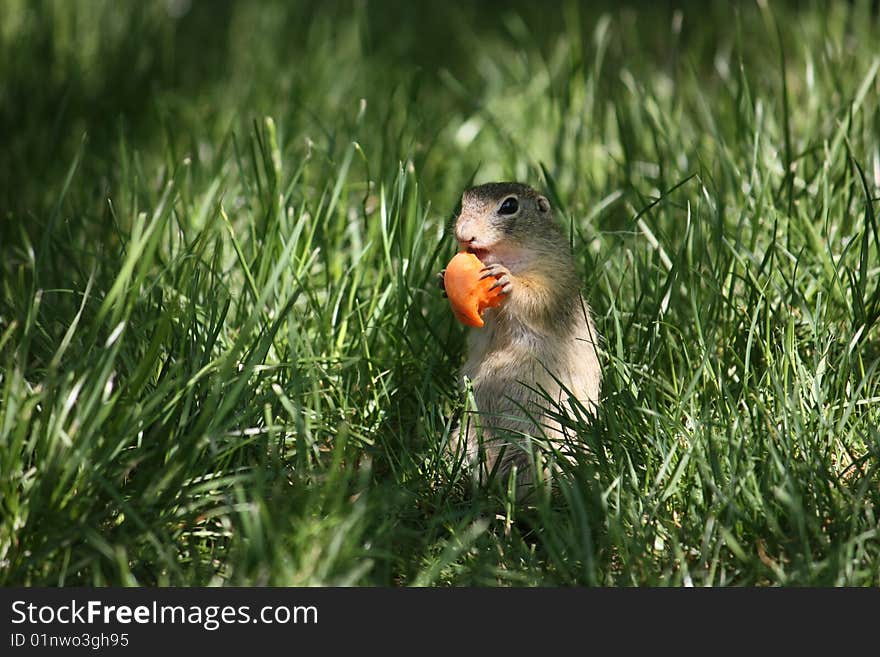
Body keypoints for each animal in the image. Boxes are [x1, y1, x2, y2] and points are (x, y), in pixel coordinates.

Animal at [438, 181, 600, 492]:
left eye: (509, 206)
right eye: (464, 202)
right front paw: (442, 280)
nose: (463, 233)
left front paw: (507, 281)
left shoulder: (554, 278)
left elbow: (536, 298)